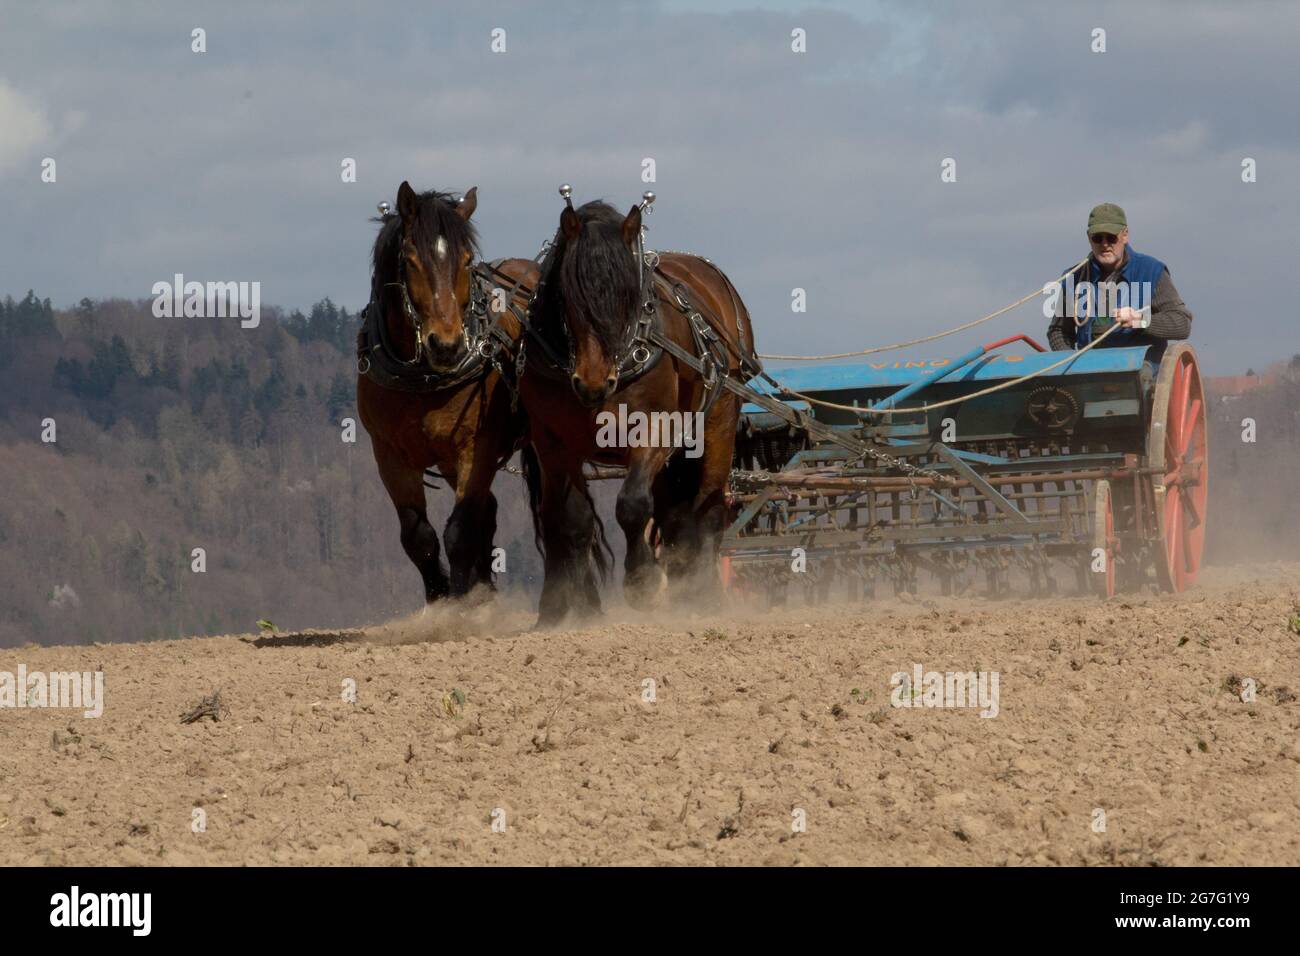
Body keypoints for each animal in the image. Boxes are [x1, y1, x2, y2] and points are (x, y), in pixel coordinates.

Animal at [358, 184, 535, 606]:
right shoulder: (388, 454)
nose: (446, 345)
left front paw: (459, 604)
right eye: (410, 260)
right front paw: (441, 599)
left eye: (466, 260)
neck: (422, 378)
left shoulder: (475, 447)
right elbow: (417, 536)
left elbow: (461, 531)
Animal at [517, 195, 759, 629]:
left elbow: (631, 505)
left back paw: (704, 593)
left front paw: (642, 583)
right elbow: (571, 518)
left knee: (709, 506)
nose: (593, 383)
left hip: (719, 418)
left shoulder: (654, 429)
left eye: (630, 298)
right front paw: (561, 610)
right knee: (675, 514)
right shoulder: (552, 443)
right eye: (568, 296)